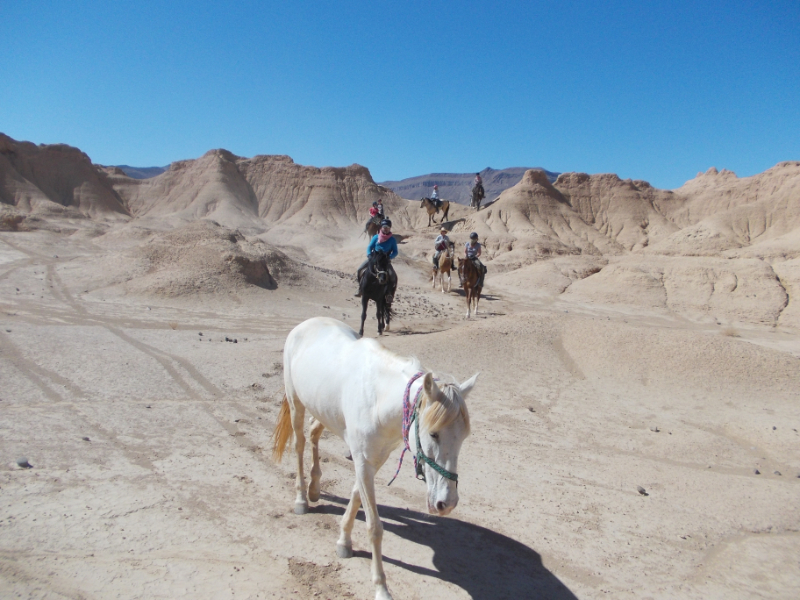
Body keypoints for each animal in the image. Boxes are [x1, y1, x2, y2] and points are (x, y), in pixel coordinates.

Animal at [272, 316, 478, 596]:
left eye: (464, 437)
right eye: (433, 434)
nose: (447, 503)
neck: (379, 400)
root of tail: (306, 323)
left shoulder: (373, 461)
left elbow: (356, 498)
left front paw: (344, 541)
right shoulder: (363, 461)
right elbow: (374, 526)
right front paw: (381, 586)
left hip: (323, 410)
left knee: (314, 433)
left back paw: (315, 488)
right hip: (296, 404)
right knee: (300, 444)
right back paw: (302, 498)